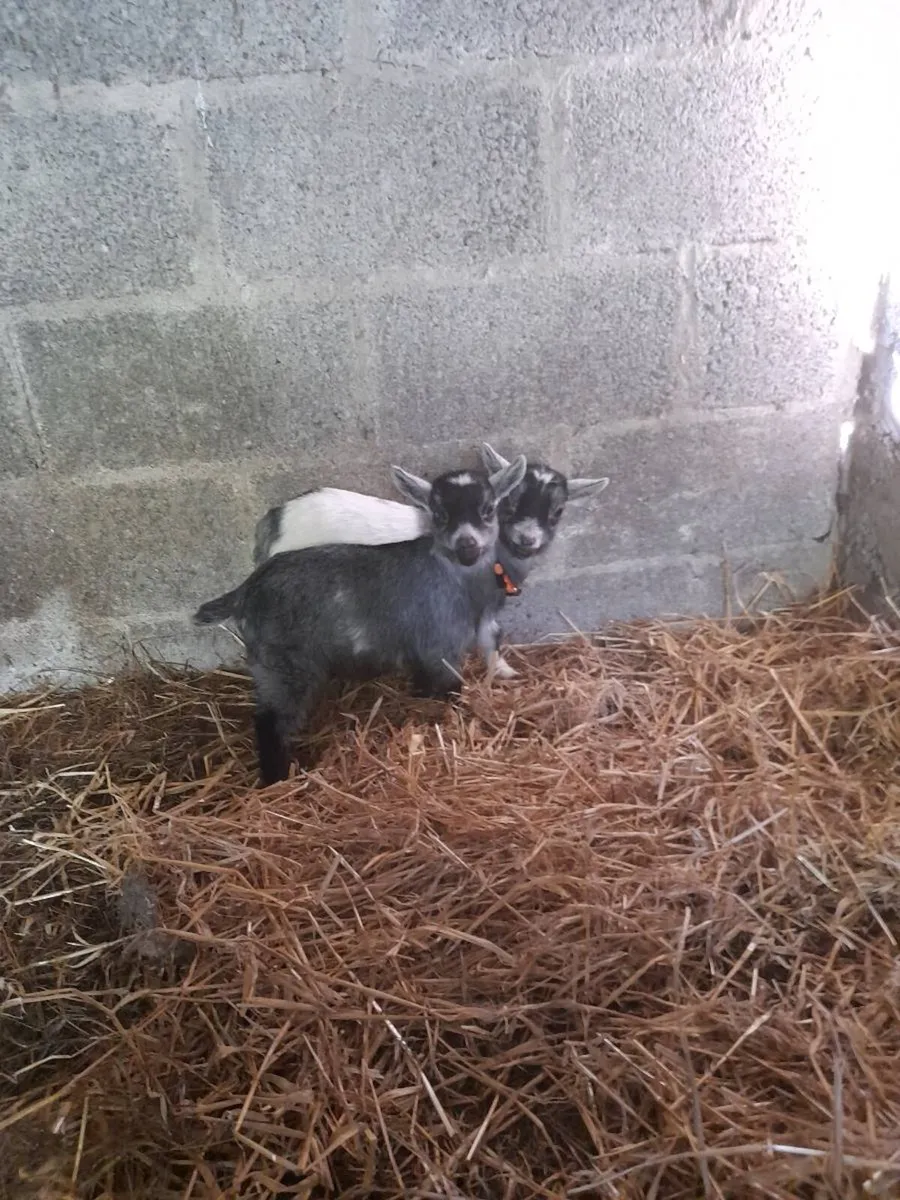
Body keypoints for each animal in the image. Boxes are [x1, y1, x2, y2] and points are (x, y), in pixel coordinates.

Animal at [194, 457, 527, 786]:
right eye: (440, 515)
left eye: (488, 509)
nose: (467, 544)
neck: (455, 576)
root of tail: (246, 591)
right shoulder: (441, 646)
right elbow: (451, 688)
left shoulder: (424, 647)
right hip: (282, 664)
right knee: (270, 720)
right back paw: (277, 778)